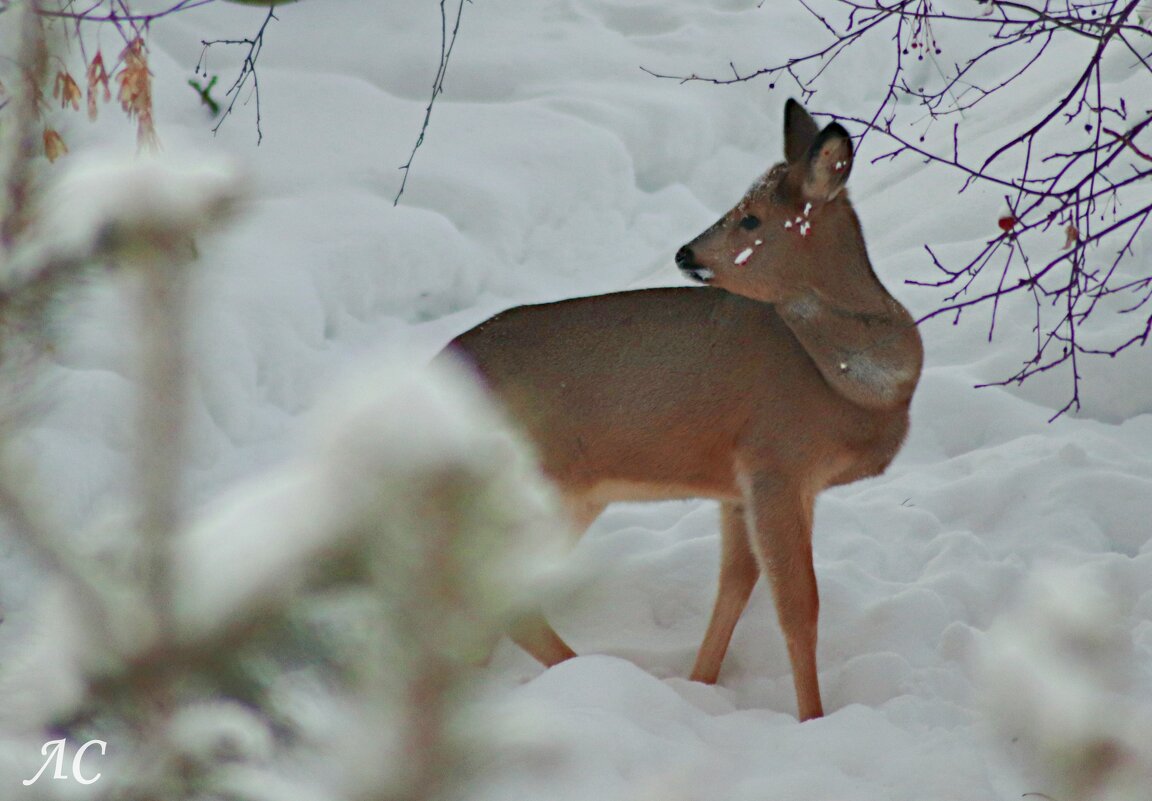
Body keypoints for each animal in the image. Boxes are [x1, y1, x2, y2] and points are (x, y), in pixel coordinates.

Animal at [444, 98, 921, 719]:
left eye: (750, 219)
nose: (684, 252)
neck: (853, 383)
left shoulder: (743, 487)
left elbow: (736, 586)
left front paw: (701, 685)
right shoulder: (776, 460)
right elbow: (799, 606)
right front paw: (813, 719)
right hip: (533, 482)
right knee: (499, 601)